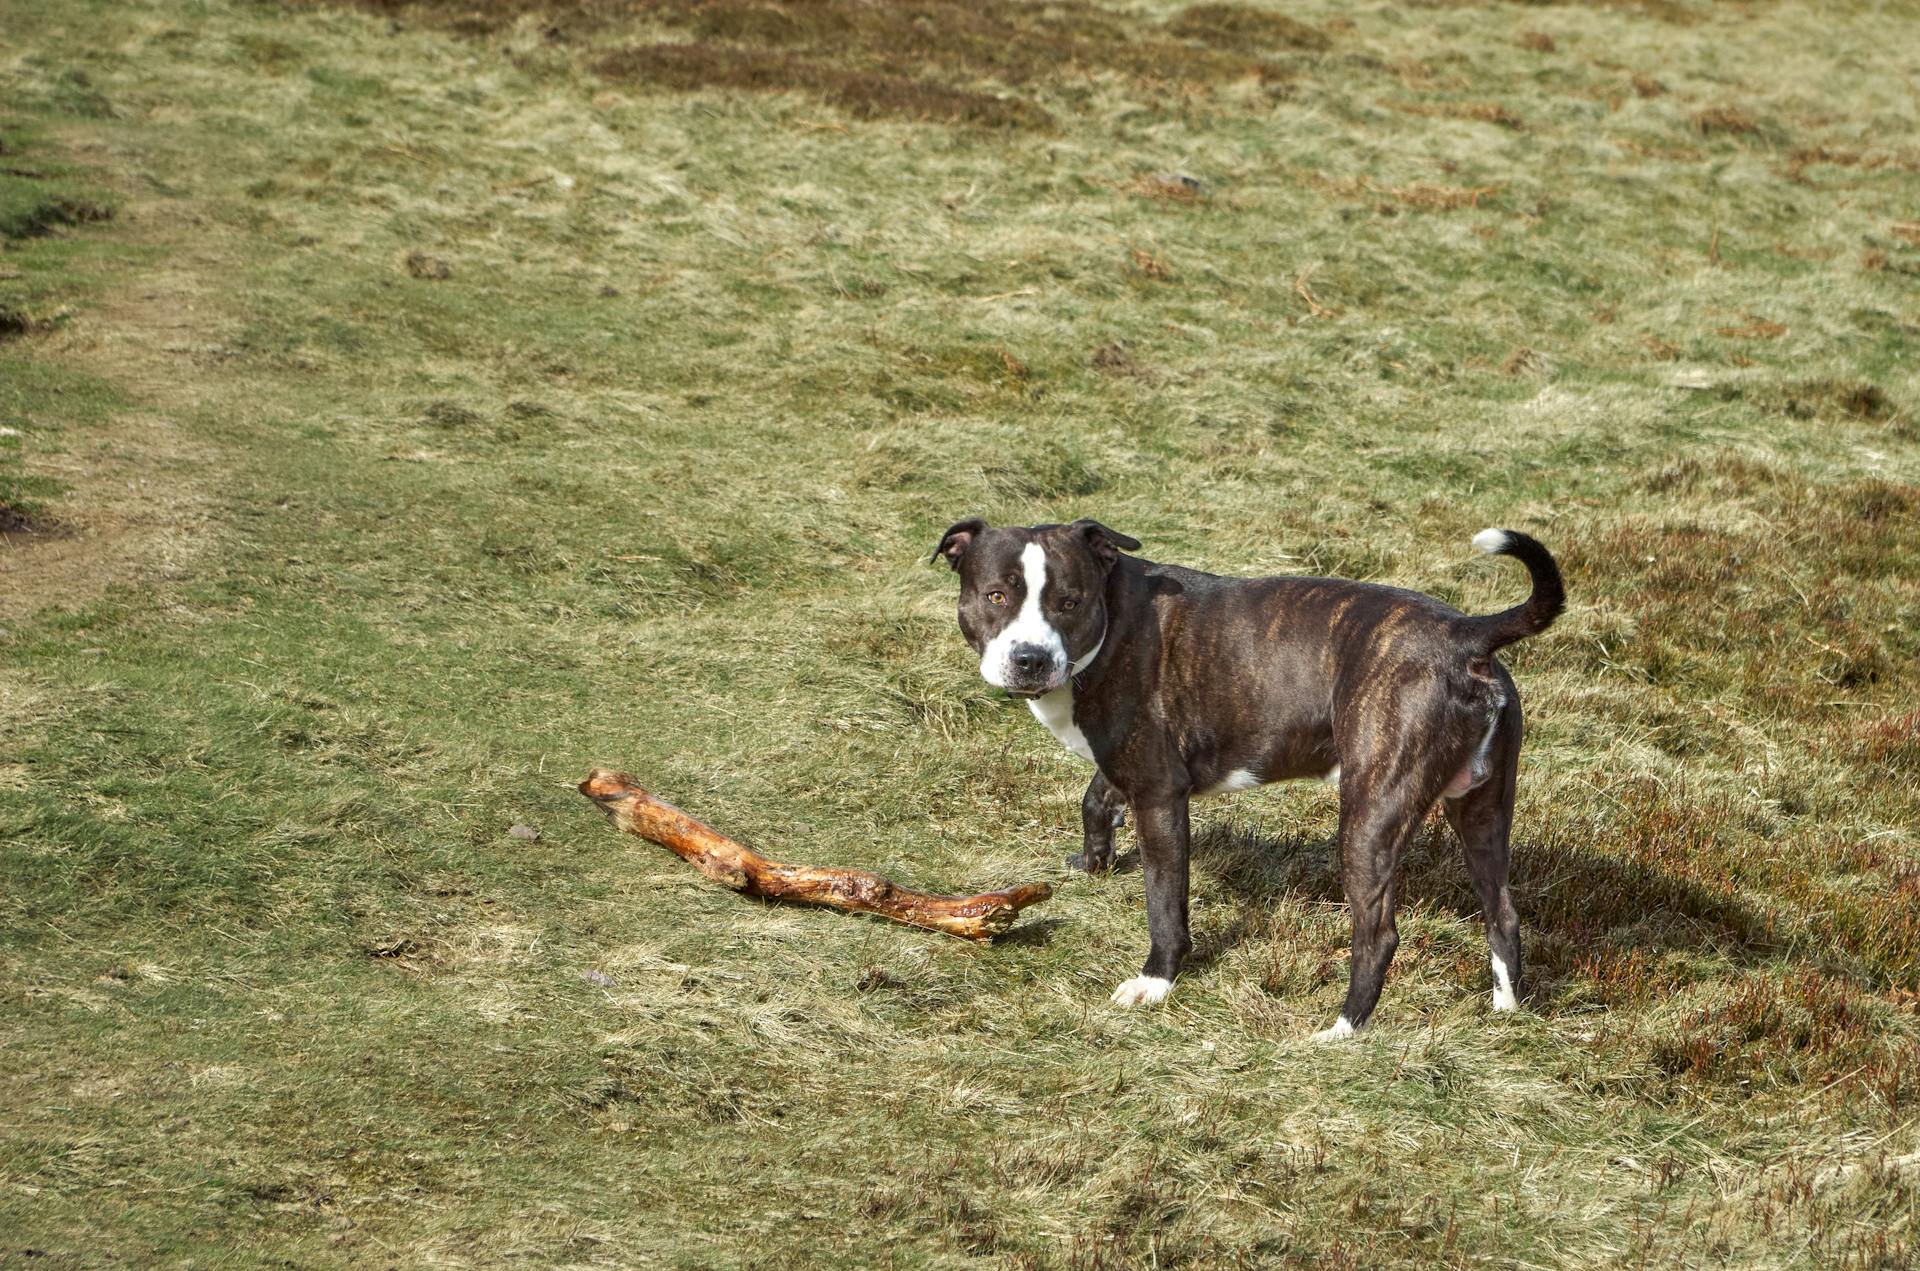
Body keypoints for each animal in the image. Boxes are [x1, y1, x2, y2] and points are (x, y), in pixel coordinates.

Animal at [929, 522, 1559, 1044]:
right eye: (996, 596)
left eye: (1069, 602)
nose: (1031, 658)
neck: (1114, 619)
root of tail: (1466, 633)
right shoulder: (1131, 765)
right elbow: (1095, 796)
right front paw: (1094, 864)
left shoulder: (1160, 796)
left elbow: (1165, 900)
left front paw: (1156, 981)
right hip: (1481, 811)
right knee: (1502, 912)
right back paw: (1505, 1013)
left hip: (1371, 814)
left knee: (1378, 933)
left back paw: (1342, 1030)